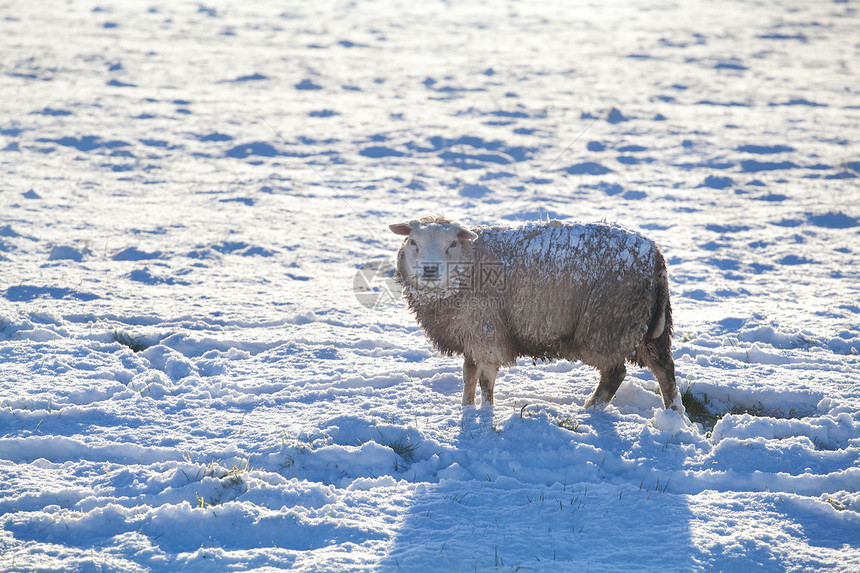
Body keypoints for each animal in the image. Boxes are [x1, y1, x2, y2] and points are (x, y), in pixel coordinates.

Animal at [388, 216, 680, 412]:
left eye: (451, 244)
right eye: (412, 242)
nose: (429, 269)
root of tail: (656, 257)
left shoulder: (487, 331)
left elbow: (485, 380)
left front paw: (485, 414)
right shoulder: (470, 332)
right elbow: (468, 374)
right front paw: (467, 409)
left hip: (607, 323)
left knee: (615, 373)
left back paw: (590, 410)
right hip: (647, 327)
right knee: (664, 369)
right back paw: (674, 414)